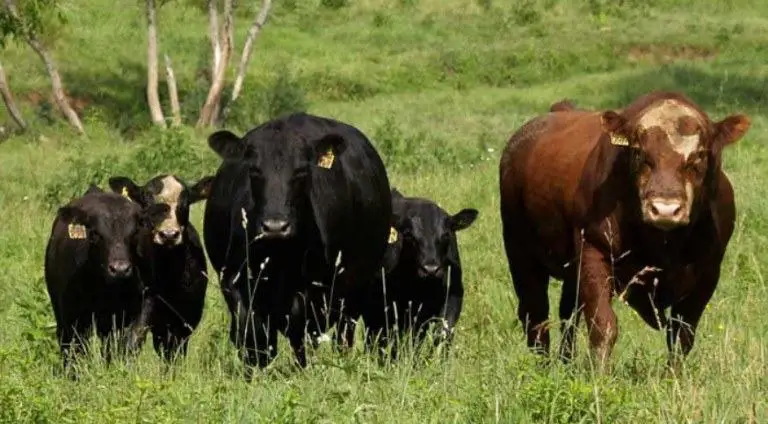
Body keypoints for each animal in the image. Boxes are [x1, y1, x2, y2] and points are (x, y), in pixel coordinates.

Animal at [45, 186, 168, 372]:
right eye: (95, 233)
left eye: (135, 231)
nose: (120, 269)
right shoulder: (72, 313)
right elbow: (76, 350)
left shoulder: (144, 305)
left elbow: (131, 343)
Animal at [202, 112, 390, 374]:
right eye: (254, 171)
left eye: (301, 172)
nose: (275, 226)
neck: (279, 257)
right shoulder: (234, 281)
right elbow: (253, 336)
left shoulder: (314, 291)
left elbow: (299, 334)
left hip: (356, 285)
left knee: (343, 334)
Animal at [498, 90, 752, 368]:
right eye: (639, 152)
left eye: (699, 154)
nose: (665, 209)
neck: (663, 245)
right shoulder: (594, 251)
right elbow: (603, 325)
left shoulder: (708, 272)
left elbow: (682, 335)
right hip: (520, 252)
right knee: (535, 315)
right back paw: (543, 367)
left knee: (568, 313)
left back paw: (566, 362)